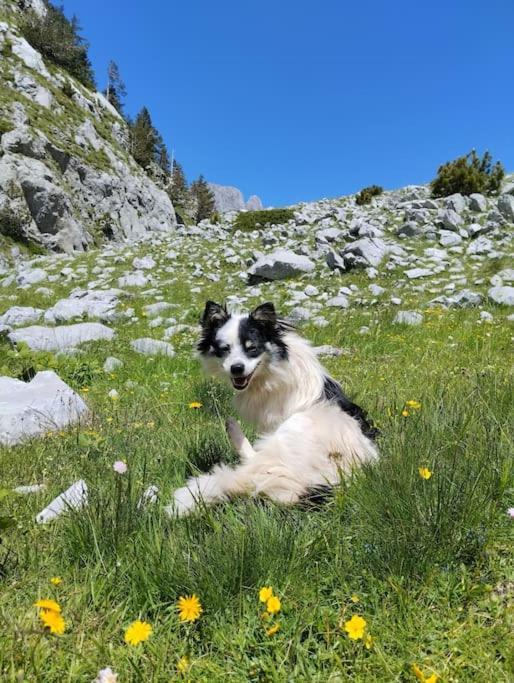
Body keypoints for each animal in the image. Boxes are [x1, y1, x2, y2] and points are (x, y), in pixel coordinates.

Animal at [166, 302, 378, 516]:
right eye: (224, 349)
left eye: (252, 348)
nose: (236, 368)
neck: (271, 370)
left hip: (291, 429)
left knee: (252, 461)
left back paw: (232, 429)